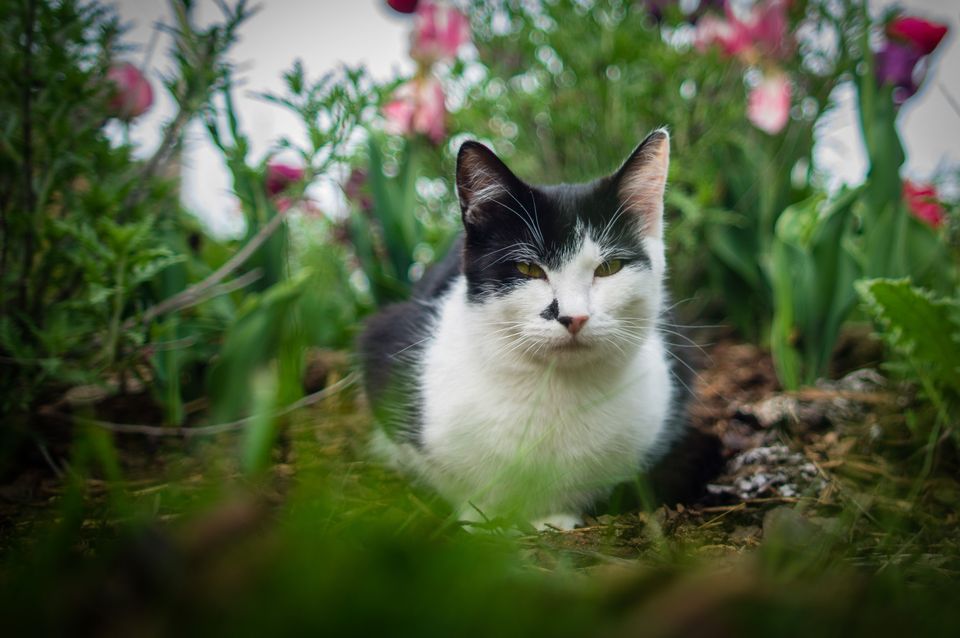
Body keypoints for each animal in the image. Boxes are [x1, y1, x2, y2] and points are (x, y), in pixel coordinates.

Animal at [360, 129, 704, 528]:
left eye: (609, 268)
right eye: (528, 269)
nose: (574, 316)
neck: (553, 390)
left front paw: (555, 518)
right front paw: (480, 519)